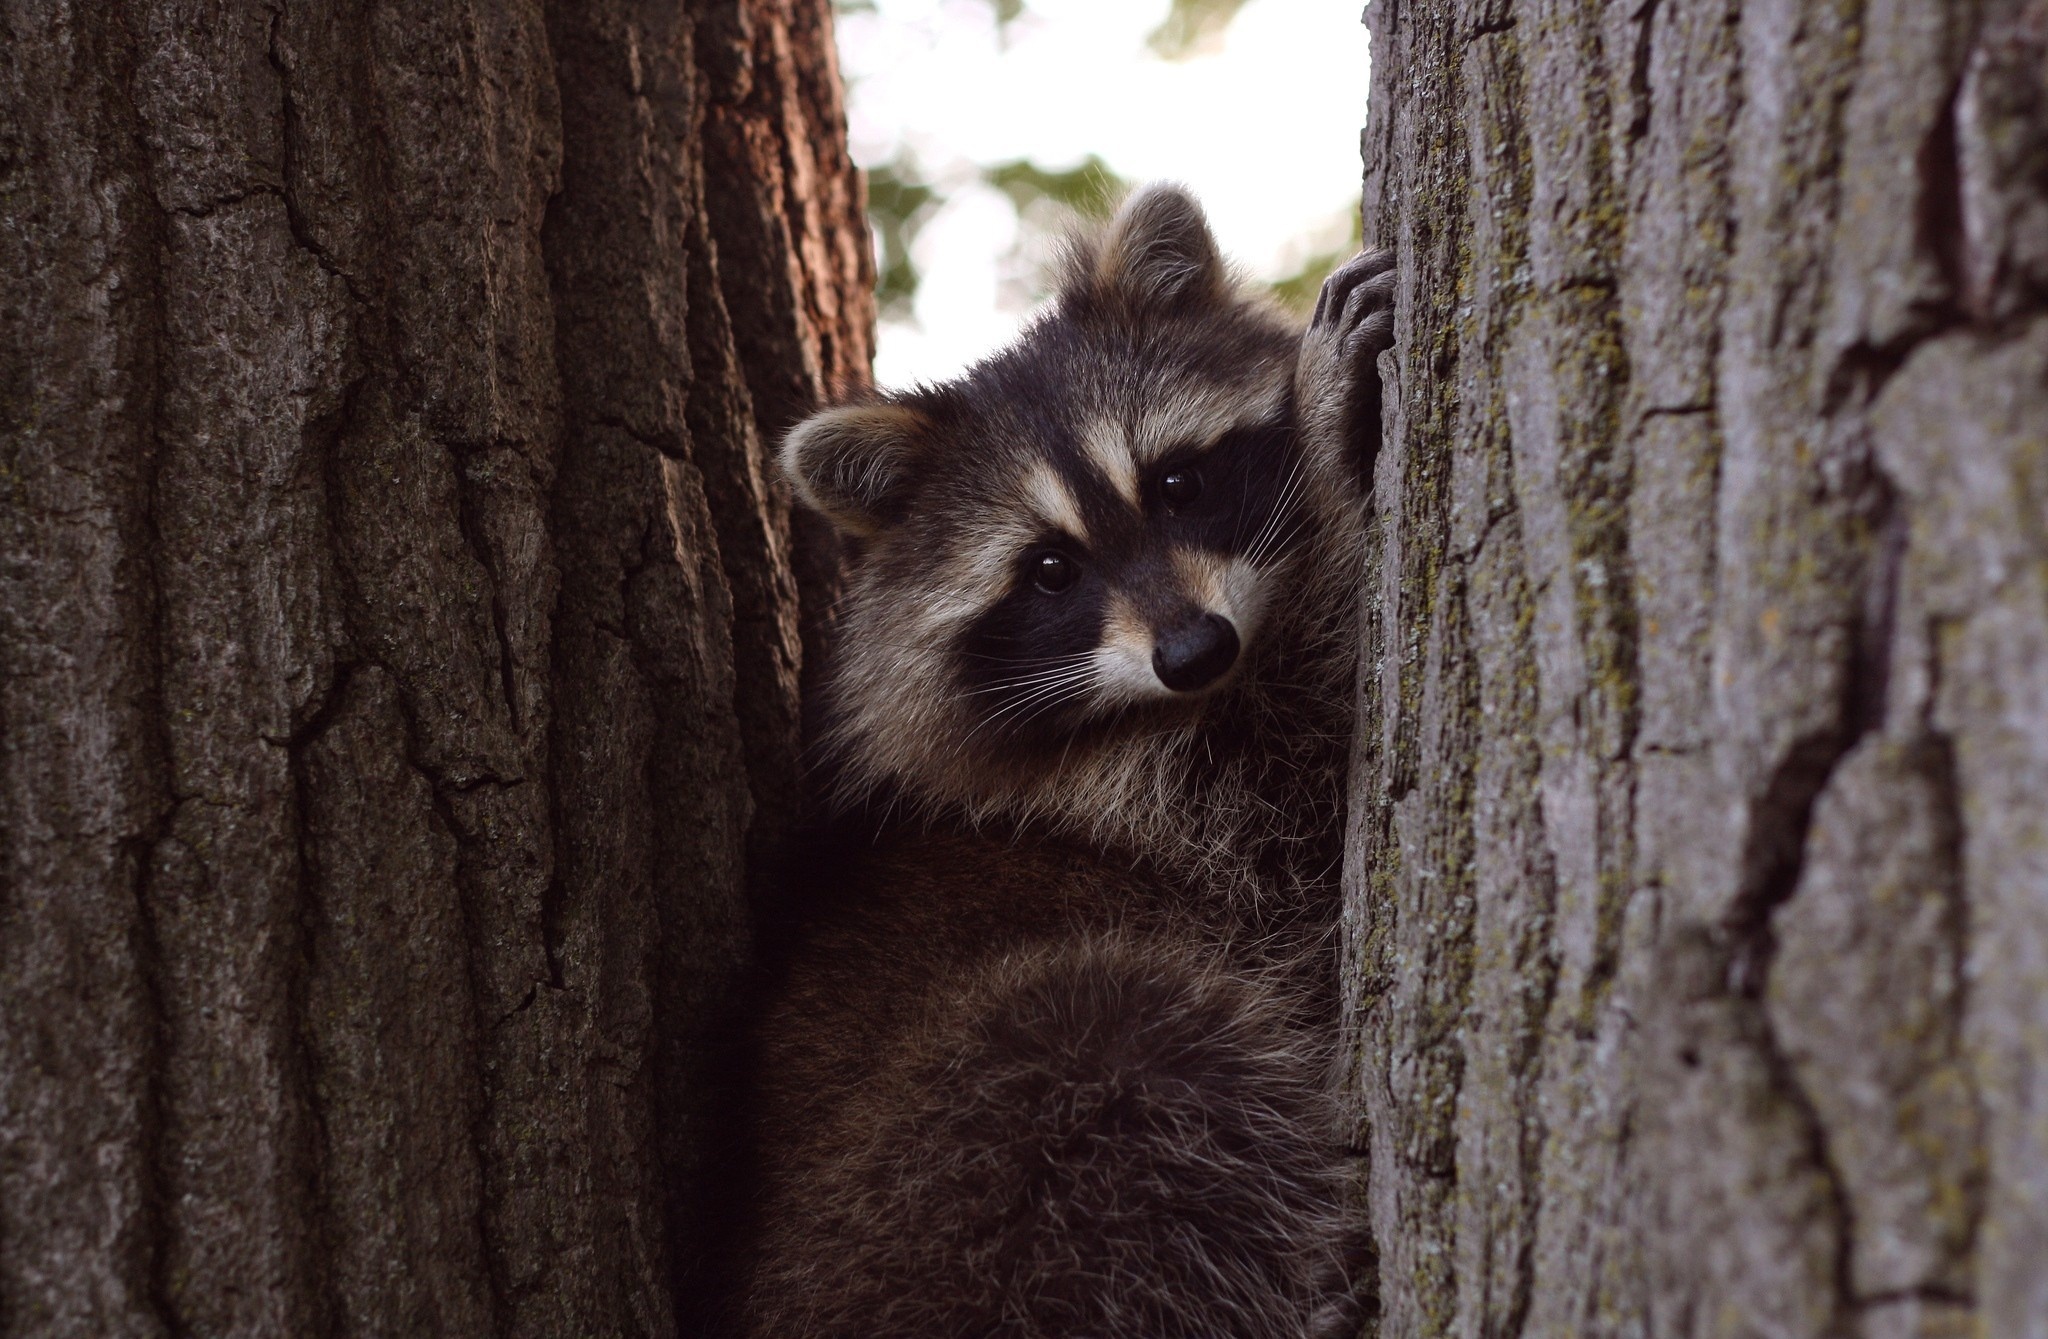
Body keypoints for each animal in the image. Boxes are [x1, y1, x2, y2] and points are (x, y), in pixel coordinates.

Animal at [745, 183, 1400, 1334]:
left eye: (1178, 482)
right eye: (1050, 569)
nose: (1195, 652)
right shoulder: (1187, 810)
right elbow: (1311, 796)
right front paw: (1328, 460)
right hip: (952, 1181)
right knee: (1123, 1044)